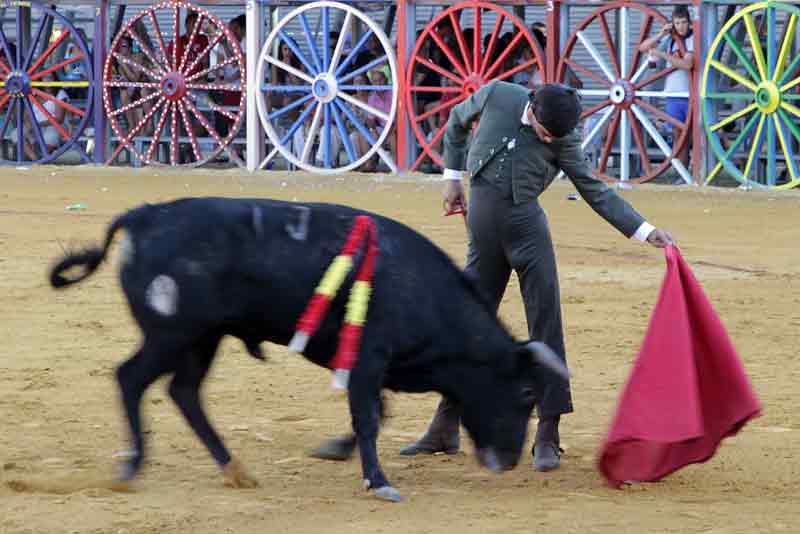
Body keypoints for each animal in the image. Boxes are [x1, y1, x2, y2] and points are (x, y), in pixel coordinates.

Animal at [50, 197, 564, 502]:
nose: (509, 461)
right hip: (171, 335)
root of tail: (143, 216)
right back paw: (132, 465)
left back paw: (233, 469)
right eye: (526, 394)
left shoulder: (372, 367)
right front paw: (379, 482)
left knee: (184, 393)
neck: (426, 293)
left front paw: (336, 449)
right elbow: (368, 417)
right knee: (132, 379)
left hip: (202, 339)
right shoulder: (368, 359)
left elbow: (373, 414)